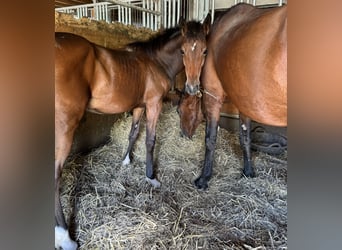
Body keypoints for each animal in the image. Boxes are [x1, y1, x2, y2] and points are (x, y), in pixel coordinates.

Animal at [54, 17, 210, 248]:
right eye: (182, 51)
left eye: (205, 51)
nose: (192, 87)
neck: (156, 61)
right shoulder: (154, 104)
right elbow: (150, 140)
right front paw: (151, 177)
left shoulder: (138, 107)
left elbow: (133, 133)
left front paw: (126, 160)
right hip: (64, 126)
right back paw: (65, 237)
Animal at [178, 3, 288, 189]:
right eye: (182, 51)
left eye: (179, 111)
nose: (183, 135)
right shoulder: (246, 103)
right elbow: (245, 138)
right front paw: (248, 171)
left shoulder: (213, 98)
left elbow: (210, 139)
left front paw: (204, 178)